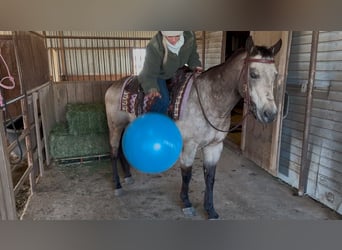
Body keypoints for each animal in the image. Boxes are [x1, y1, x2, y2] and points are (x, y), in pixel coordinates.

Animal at [105, 36, 284, 219]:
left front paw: (210, 210)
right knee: (113, 152)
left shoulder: (214, 146)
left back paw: (127, 176)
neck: (208, 100)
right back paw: (118, 185)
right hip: (114, 126)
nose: (270, 114)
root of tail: (114, 85)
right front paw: (186, 203)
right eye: (253, 74)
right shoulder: (190, 145)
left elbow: (210, 178)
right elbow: (187, 174)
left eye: (275, 74)